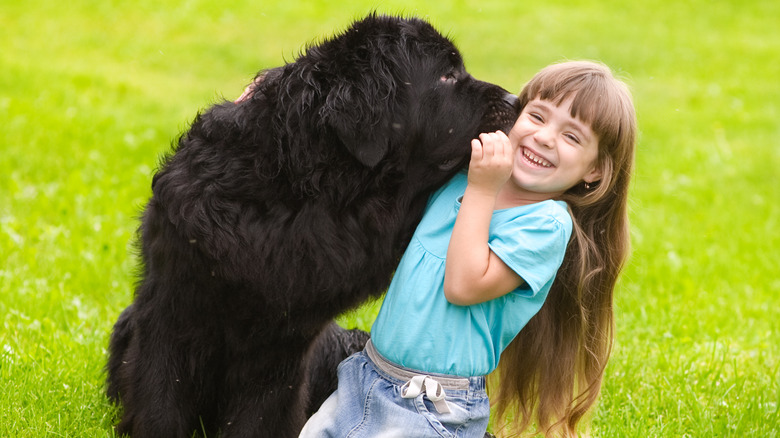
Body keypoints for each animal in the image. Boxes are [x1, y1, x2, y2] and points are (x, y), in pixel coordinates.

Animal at [105, 13, 516, 438]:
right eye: (447, 76)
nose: (515, 101)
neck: (303, 187)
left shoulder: (282, 344)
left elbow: (260, 417)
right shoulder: (172, 311)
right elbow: (161, 402)